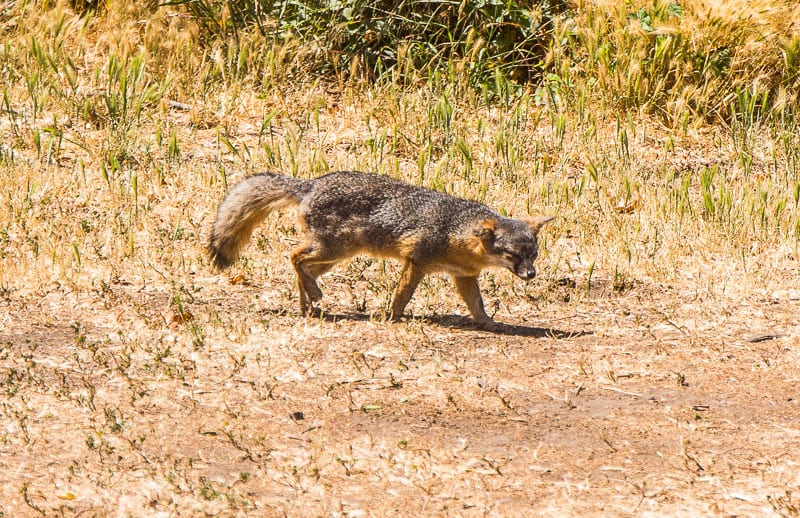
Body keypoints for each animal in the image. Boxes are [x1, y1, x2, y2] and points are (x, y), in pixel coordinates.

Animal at [209, 173, 552, 332]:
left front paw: (490, 323)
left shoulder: (465, 277)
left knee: (302, 268)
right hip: (334, 247)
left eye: (533, 255)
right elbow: (402, 295)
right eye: (513, 255)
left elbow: (477, 306)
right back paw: (313, 298)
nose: (531, 275)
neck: (454, 230)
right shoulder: (416, 261)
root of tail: (310, 184)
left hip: (334, 256)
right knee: (294, 257)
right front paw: (393, 317)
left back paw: (308, 304)